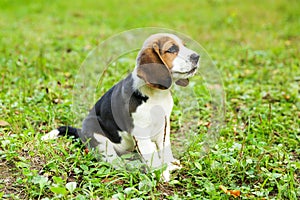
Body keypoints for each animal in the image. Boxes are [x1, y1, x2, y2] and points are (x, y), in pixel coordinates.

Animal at [42, 33, 200, 181]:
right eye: (172, 49)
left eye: (184, 45)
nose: (197, 56)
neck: (156, 94)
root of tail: (81, 131)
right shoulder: (141, 133)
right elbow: (152, 156)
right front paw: (161, 173)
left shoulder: (164, 127)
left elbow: (165, 148)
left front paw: (170, 164)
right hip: (100, 138)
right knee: (111, 159)